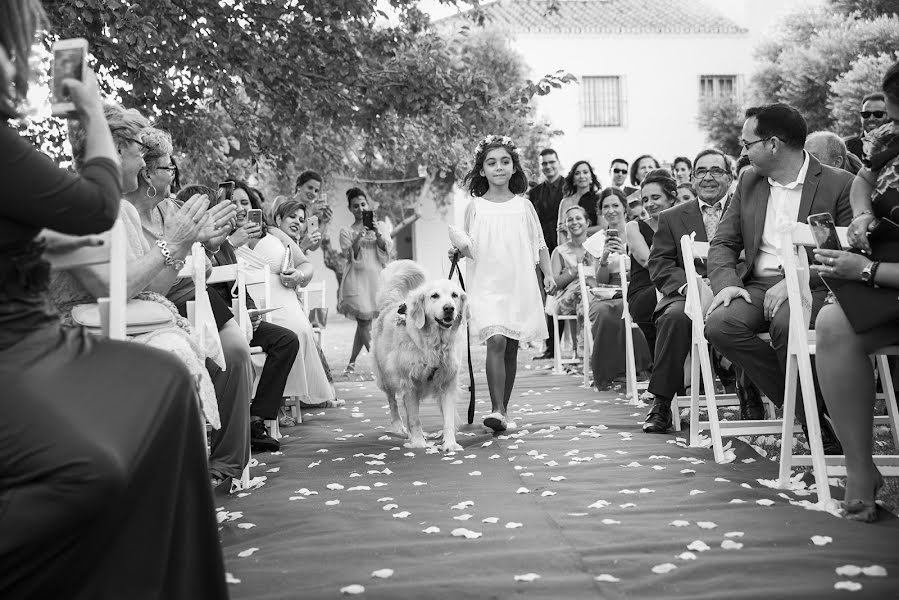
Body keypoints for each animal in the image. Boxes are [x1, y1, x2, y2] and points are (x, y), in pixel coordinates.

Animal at [372, 260, 472, 452]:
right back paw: (399, 427)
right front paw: (418, 443)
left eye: (454, 295)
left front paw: (450, 444)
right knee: (392, 401)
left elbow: (448, 418)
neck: (435, 344)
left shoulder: (448, 382)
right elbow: (414, 418)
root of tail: (391, 304)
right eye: (434, 296)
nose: (449, 308)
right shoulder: (409, 383)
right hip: (386, 376)